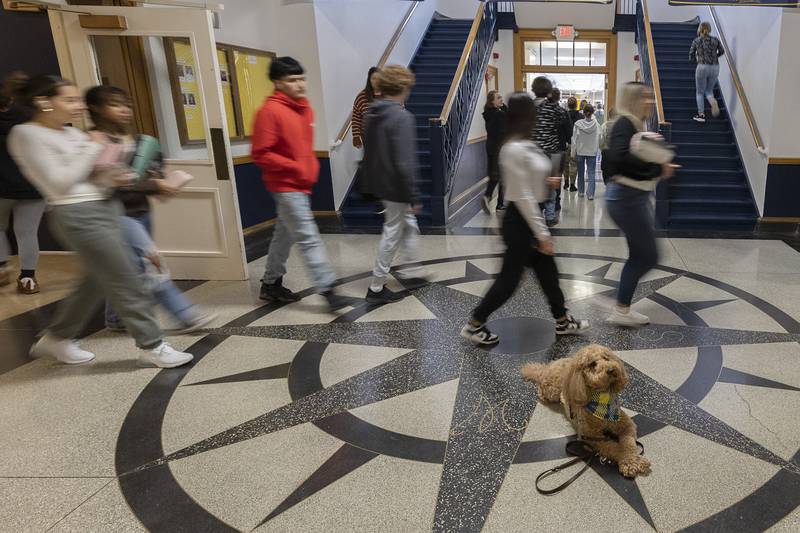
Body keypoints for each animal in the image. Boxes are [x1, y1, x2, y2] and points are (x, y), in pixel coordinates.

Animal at [520, 344, 652, 478]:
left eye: (606, 358)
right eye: (592, 364)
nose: (611, 369)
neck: (602, 399)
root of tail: (550, 365)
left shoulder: (626, 425)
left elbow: (629, 443)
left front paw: (632, 459)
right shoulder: (592, 438)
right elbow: (613, 447)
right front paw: (628, 462)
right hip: (551, 391)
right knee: (541, 388)